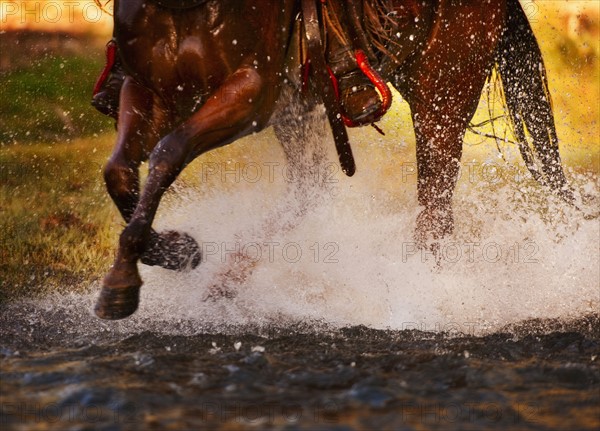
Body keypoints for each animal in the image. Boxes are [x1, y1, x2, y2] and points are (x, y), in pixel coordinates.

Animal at [95, 0, 572, 318]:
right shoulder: (146, 89)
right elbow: (118, 171)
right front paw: (174, 252)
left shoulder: (250, 94)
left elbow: (167, 152)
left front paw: (125, 283)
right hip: (299, 110)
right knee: (311, 190)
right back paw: (225, 282)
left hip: (442, 93)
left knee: (433, 211)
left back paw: (419, 296)